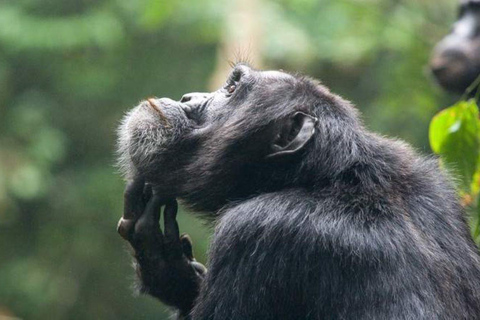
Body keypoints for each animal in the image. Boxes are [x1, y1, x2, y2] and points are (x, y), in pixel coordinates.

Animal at [117, 63, 480, 318]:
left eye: (232, 88)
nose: (189, 98)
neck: (321, 178)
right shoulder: (437, 188)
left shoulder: (256, 230)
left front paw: (165, 272)